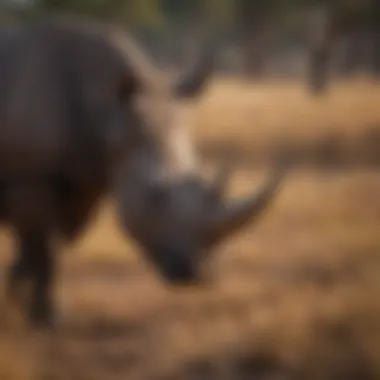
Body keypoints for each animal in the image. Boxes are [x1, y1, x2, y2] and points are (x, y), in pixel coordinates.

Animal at [0, 16, 286, 328]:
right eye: (154, 196)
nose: (197, 273)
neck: (108, 115)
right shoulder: (31, 179)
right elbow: (46, 252)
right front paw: (48, 318)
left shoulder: (80, 180)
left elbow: (36, 248)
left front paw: (14, 296)